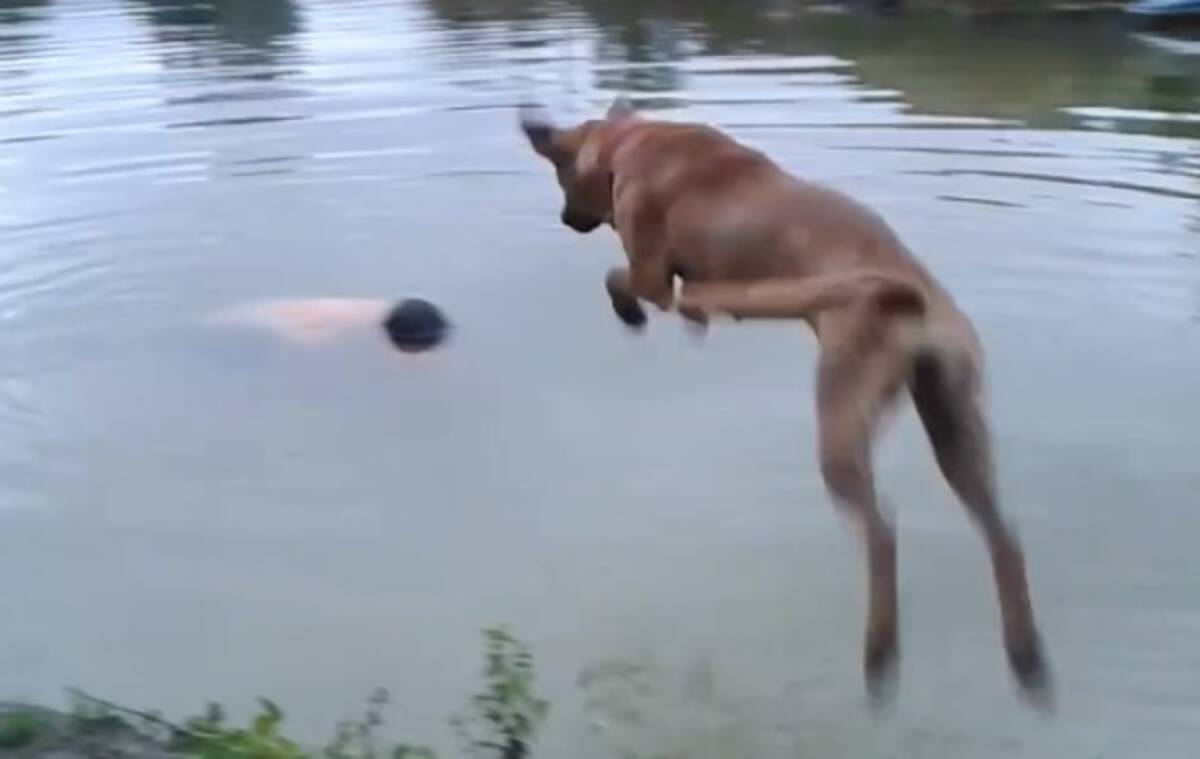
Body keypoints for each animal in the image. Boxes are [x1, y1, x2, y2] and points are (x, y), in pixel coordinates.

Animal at [520, 97, 1046, 701]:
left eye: (560, 175)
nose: (566, 218)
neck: (630, 142)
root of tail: (919, 306)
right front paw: (696, 317)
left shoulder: (651, 276)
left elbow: (619, 279)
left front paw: (638, 314)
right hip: (954, 427)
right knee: (1003, 534)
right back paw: (1026, 658)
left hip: (842, 422)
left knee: (882, 534)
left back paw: (880, 654)